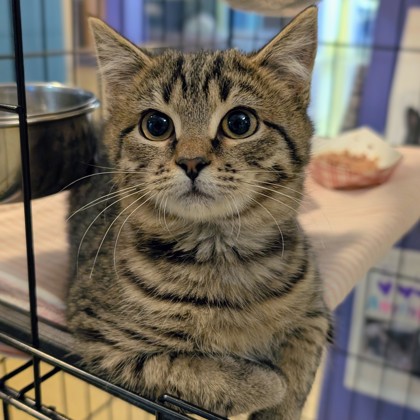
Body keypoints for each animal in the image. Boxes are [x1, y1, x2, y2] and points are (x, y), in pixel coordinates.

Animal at [66, 6, 332, 419]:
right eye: (155, 125)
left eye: (239, 123)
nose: (191, 161)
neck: (219, 254)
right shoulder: (97, 341)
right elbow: (184, 367)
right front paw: (263, 382)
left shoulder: (317, 311)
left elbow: (302, 358)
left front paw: (283, 403)